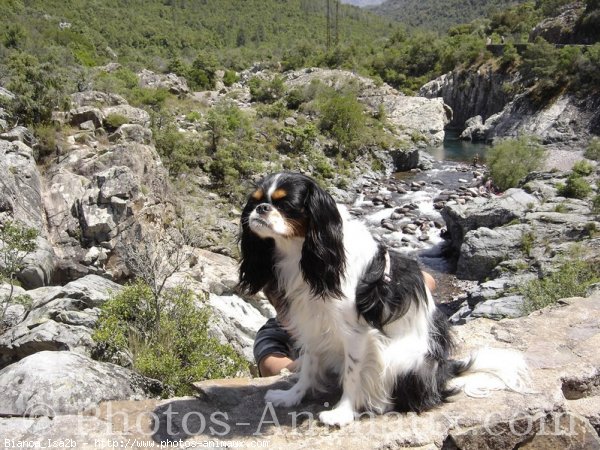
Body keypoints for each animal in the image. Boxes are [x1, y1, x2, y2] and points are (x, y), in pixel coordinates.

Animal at [237, 171, 528, 426]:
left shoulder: (356, 332)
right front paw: (292, 396)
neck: (302, 252)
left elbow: (353, 374)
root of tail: (444, 373)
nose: (261, 208)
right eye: (255, 200)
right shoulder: (312, 322)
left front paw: (342, 413)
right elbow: (308, 366)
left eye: (287, 205)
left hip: (399, 358)